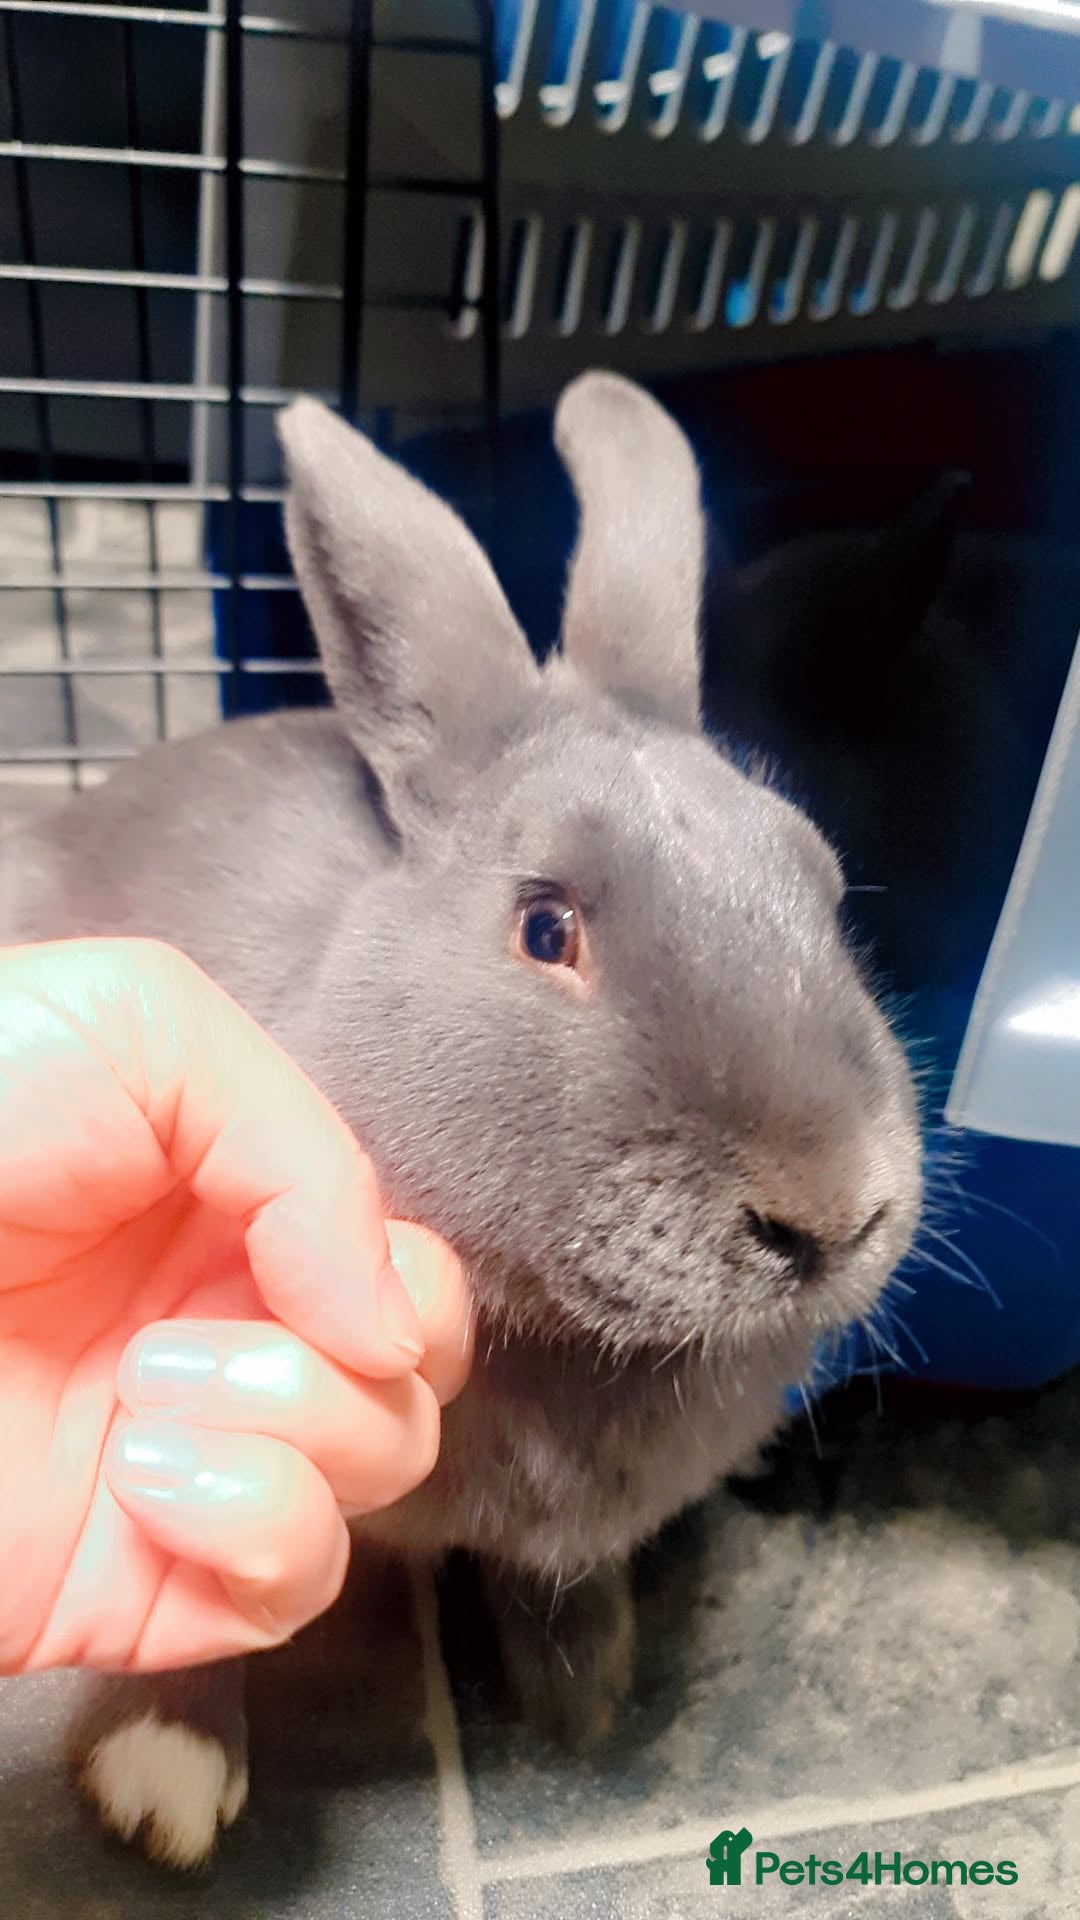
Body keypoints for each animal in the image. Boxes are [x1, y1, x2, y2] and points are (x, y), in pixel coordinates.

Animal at [0, 372, 923, 1869]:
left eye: (827, 890)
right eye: (545, 928)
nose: (832, 1210)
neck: (569, 1342)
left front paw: (582, 1694)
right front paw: (163, 1785)